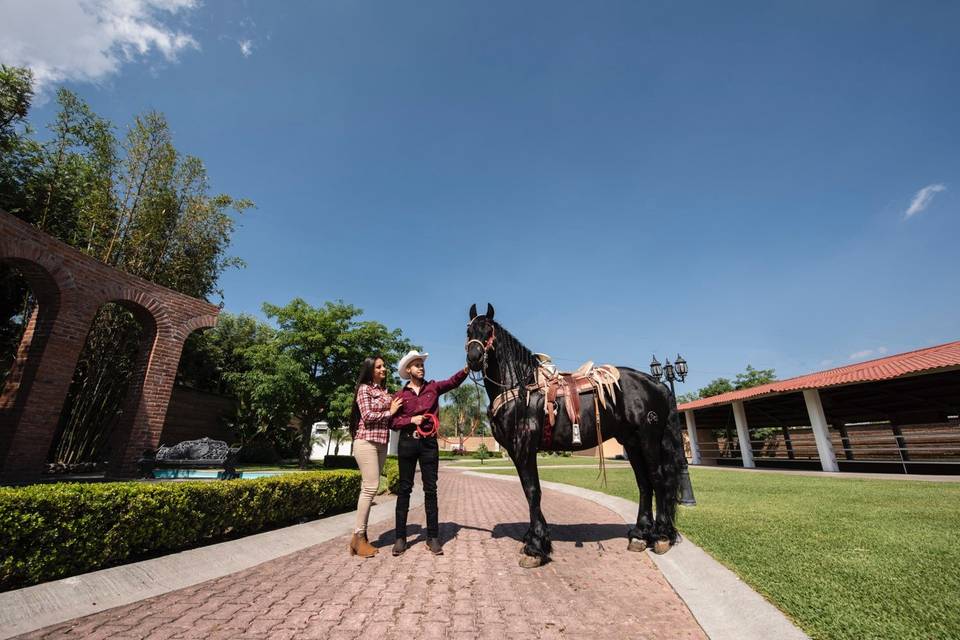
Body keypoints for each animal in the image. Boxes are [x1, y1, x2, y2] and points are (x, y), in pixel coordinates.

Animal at [464, 302, 684, 568]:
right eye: (468, 331)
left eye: (489, 332)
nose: (474, 358)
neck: (520, 387)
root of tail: (658, 384)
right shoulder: (517, 451)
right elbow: (529, 491)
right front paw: (536, 537)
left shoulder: (524, 447)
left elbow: (532, 491)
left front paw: (535, 546)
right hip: (632, 442)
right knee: (644, 483)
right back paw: (640, 534)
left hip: (648, 438)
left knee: (657, 479)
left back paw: (661, 536)